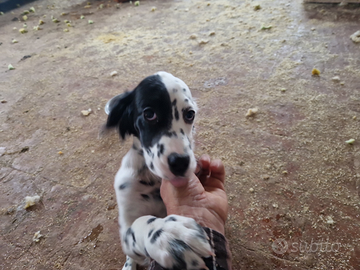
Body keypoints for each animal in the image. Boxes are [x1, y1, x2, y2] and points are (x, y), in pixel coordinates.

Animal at [103, 71, 211, 270]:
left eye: (190, 114)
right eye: (149, 114)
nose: (180, 162)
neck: (153, 179)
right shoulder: (127, 225)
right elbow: (139, 224)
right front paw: (167, 234)